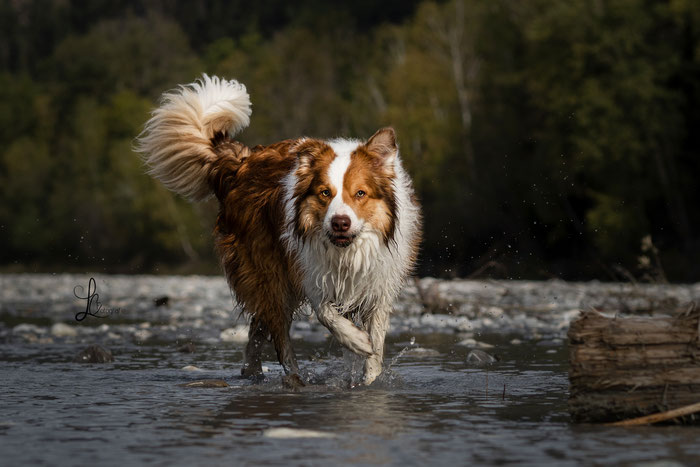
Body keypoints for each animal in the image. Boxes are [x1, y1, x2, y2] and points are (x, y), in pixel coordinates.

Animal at [138, 75, 422, 386]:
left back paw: (253, 372)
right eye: (324, 193)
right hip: (269, 275)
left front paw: (370, 381)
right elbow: (327, 315)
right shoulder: (308, 271)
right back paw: (293, 377)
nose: (340, 222)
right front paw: (357, 341)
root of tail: (243, 161)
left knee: (258, 327)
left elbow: (377, 342)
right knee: (278, 333)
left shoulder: (379, 286)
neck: (346, 252)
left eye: (360, 193)